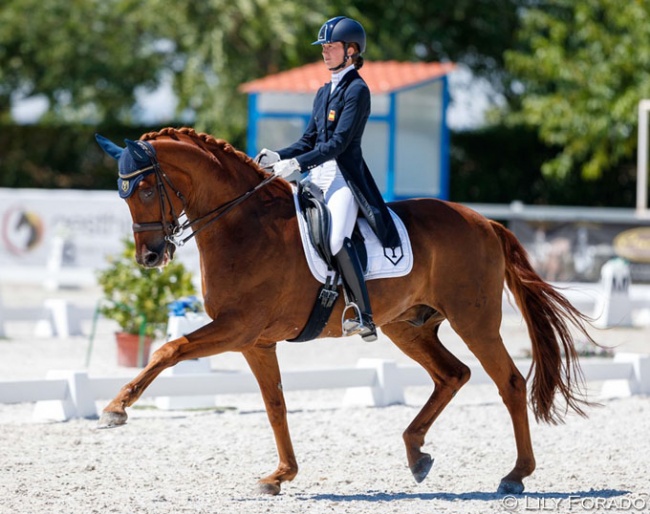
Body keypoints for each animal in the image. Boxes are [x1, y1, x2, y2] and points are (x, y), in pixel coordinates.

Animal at [93, 126, 596, 494]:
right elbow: (275, 405)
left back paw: (515, 475)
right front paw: (281, 475)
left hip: (475, 321)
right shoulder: (256, 342)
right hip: (408, 327)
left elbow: (169, 349)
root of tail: (485, 221)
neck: (242, 224)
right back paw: (417, 454)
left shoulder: (237, 328)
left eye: (144, 190)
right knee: (453, 375)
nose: (150, 257)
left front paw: (116, 408)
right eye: (121, 195)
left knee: (509, 382)